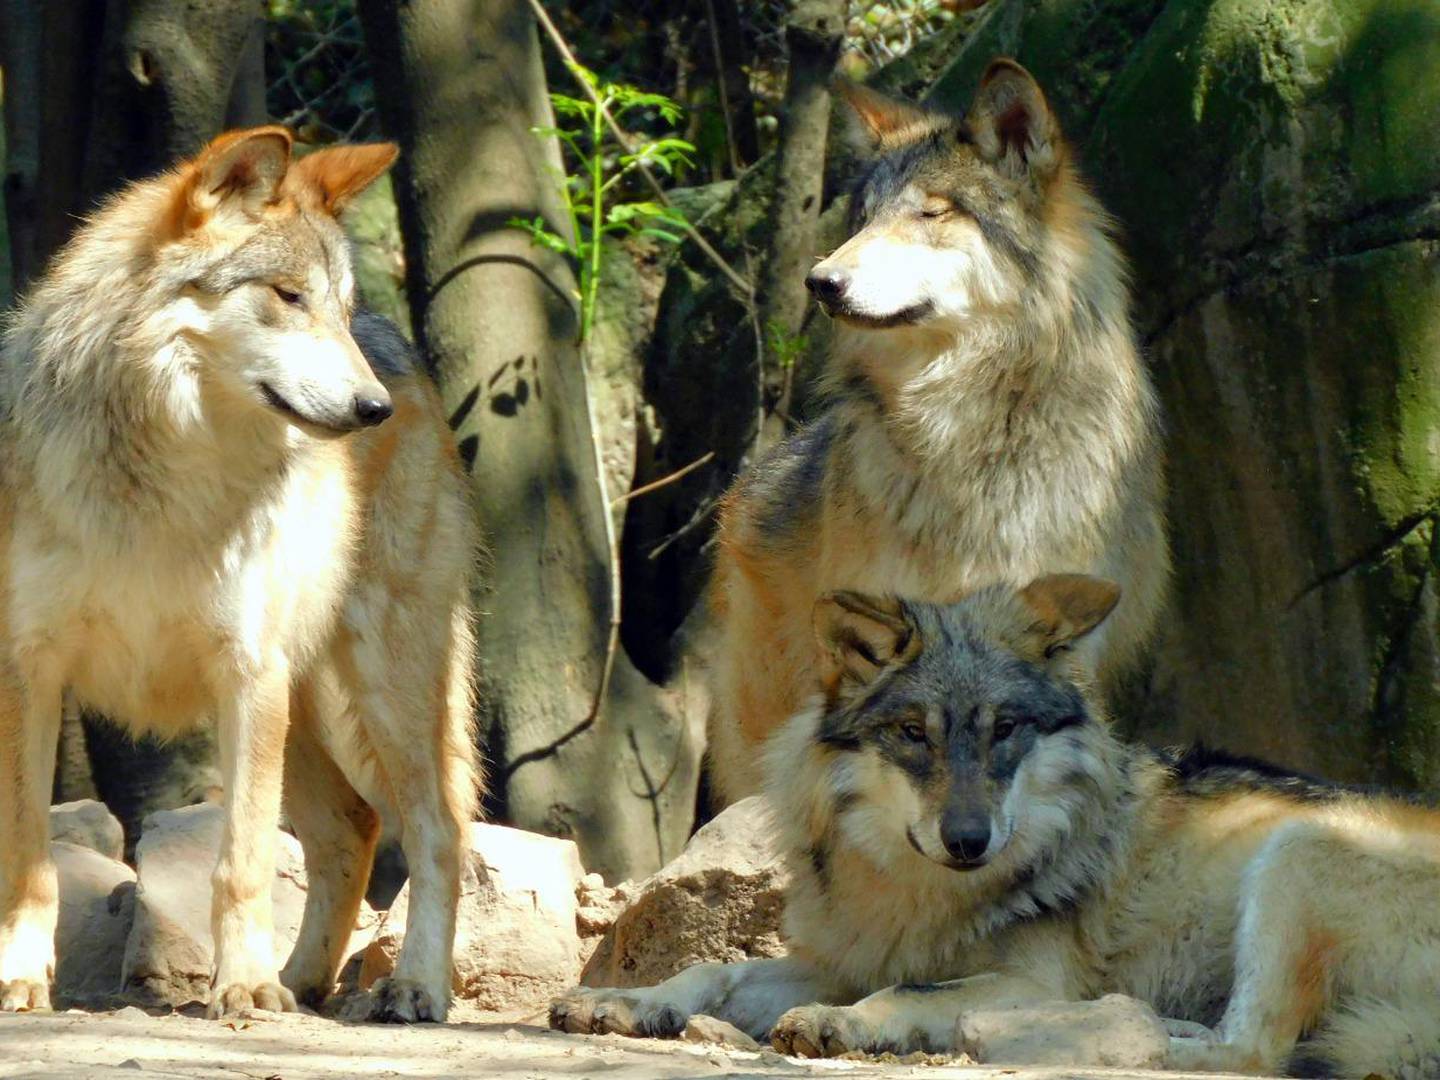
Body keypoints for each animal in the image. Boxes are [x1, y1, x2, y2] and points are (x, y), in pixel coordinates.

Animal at [0, 128, 479, 1022]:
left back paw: (410, 988)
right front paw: (19, 980)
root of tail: (404, 351)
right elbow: (29, 855)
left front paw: (246, 986)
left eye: (335, 307)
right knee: (353, 827)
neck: (164, 475)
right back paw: (306, 981)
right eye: (288, 296)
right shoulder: (27, 673)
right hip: (306, 706)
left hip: (378, 685)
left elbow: (243, 861)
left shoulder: (246, 670)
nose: (374, 409)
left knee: (438, 829)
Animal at [555, 575, 1440, 1077]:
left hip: (1302, 850)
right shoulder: (843, 957)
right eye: (915, 734)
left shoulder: (1022, 976)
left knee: (1248, 1050)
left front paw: (846, 1025)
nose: (969, 841)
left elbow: (907, 989)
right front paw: (625, 1002)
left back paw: (1104, 1030)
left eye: (1005, 730)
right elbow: (713, 969)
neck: (915, 892)